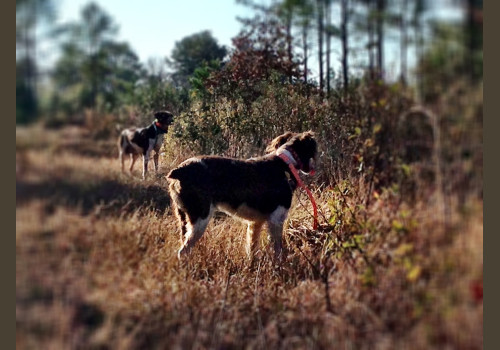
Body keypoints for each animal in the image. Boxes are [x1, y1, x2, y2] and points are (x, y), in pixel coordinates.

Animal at [167, 131, 316, 262]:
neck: (285, 163)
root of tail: (180, 170)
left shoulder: (256, 223)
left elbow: (252, 249)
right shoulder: (276, 219)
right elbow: (278, 249)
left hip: (184, 219)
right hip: (200, 218)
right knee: (183, 251)